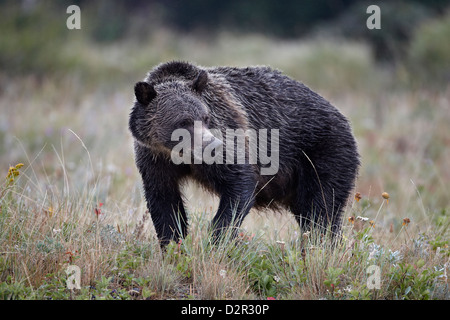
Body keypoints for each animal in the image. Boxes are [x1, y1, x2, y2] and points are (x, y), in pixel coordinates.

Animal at [128, 60, 360, 248]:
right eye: (183, 122)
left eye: (205, 118)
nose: (212, 145)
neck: (177, 155)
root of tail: (343, 118)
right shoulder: (155, 160)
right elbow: (164, 202)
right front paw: (173, 245)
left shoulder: (230, 132)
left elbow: (239, 183)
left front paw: (217, 241)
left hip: (322, 153)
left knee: (321, 209)